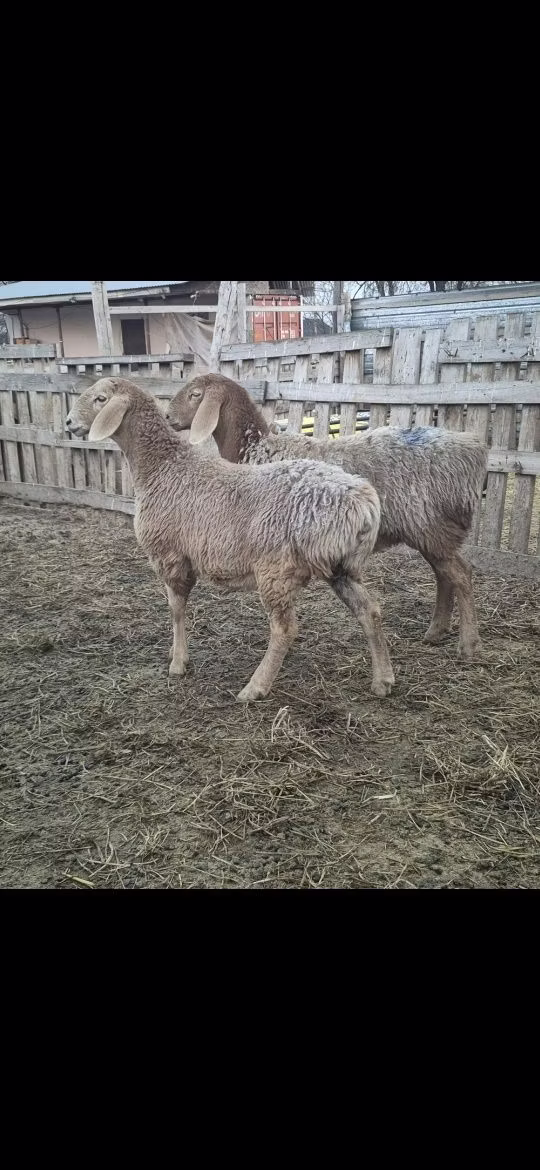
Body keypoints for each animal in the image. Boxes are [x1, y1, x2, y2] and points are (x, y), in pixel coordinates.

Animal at [65, 378, 395, 702]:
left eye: (100, 399)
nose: (68, 422)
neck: (163, 467)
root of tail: (362, 501)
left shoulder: (169, 556)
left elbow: (176, 609)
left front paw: (178, 663)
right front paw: (175, 653)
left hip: (276, 569)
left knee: (285, 628)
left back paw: (255, 687)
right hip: (339, 566)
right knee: (369, 611)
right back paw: (383, 680)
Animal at [167, 374, 488, 661]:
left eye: (195, 394)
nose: (168, 416)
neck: (256, 447)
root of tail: (471, 448)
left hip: (430, 524)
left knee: (461, 574)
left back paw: (469, 644)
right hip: (432, 529)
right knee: (445, 575)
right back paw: (436, 632)